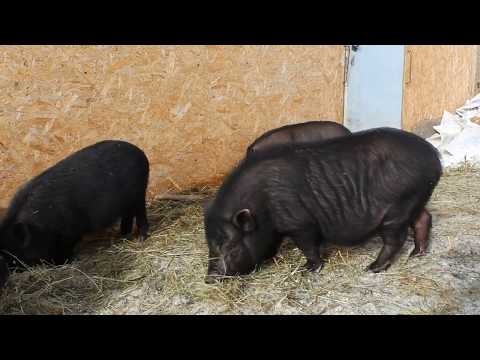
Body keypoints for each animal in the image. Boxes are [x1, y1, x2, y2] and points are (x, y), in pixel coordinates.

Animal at [0, 141, 150, 268]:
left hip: (139, 192)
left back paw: (142, 238)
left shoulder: (70, 231)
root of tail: (140, 152)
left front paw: (62, 263)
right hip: (127, 202)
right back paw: (124, 235)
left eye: (16, 255)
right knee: (128, 216)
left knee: (141, 213)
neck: (41, 226)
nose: (12, 270)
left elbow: (66, 248)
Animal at [203, 126, 442, 282]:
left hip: (397, 207)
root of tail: (434, 157)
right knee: (424, 218)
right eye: (210, 245)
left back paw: (372, 268)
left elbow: (308, 247)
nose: (210, 278)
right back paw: (417, 254)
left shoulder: (300, 223)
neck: (262, 208)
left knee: (396, 238)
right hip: (414, 198)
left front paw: (308, 270)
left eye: (231, 248)